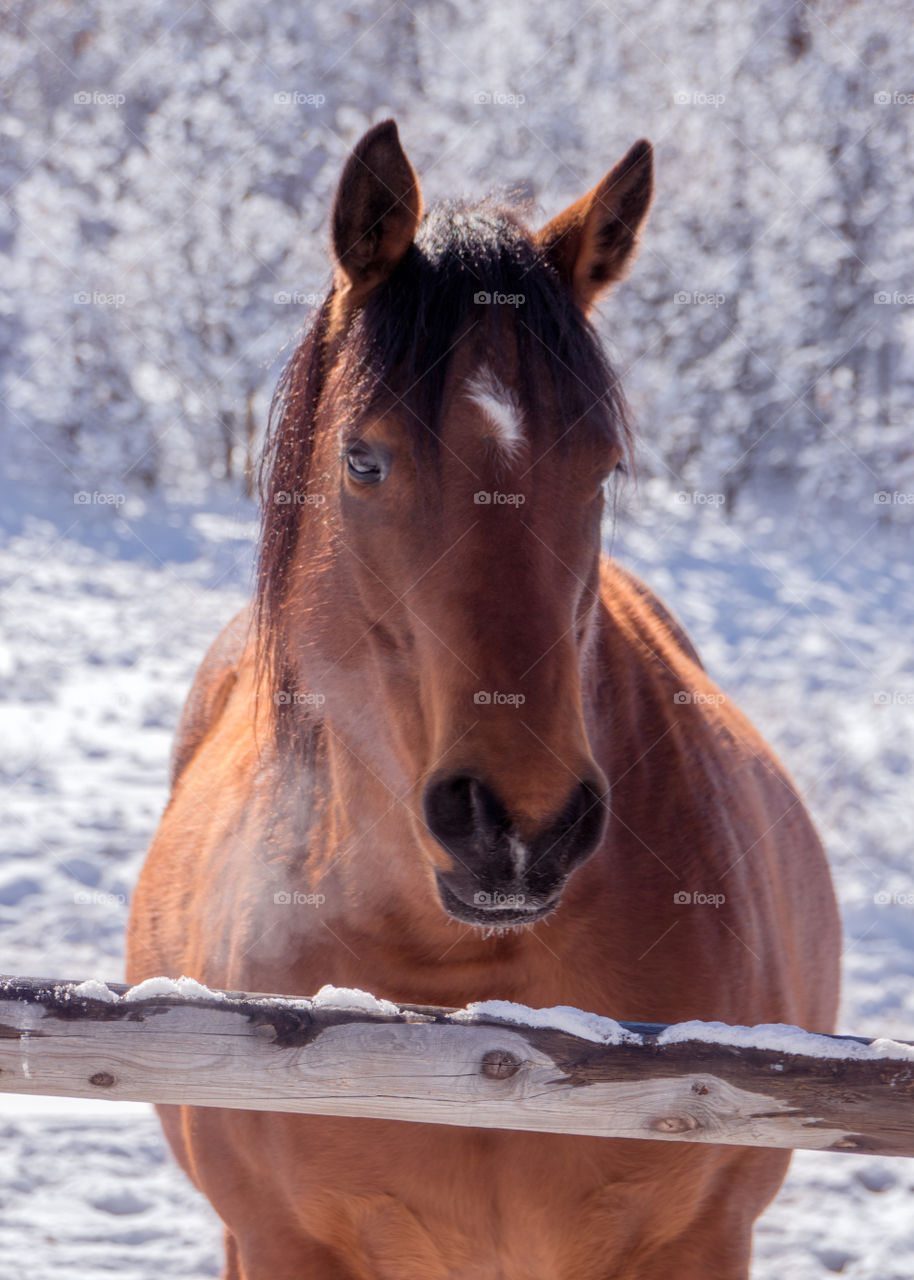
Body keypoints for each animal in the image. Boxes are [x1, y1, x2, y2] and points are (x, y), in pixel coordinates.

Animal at [127, 119, 841, 1279]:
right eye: (362, 459)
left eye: (602, 468)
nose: (520, 825)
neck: (465, 1006)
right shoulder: (277, 1241)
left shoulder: (701, 1239)